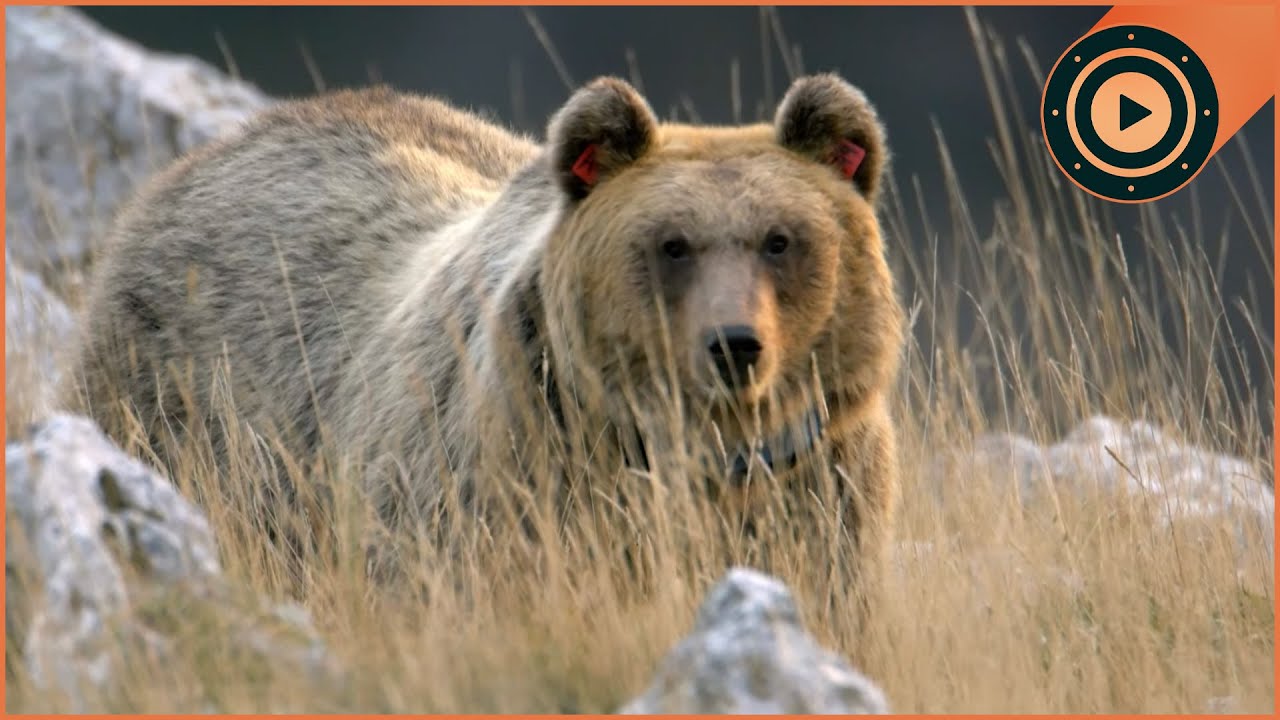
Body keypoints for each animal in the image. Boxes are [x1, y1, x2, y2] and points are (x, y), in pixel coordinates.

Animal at [64, 73, 906, 603]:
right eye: (672, 244)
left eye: (780, 239)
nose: (734, 344)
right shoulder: (517, 472)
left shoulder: (825, 489)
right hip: (182, 409)